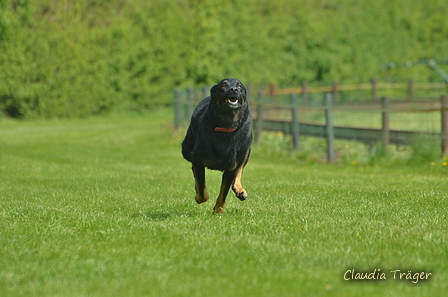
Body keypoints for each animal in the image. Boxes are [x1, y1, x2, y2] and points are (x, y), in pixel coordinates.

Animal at [181, 78, 252, 213]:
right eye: (223, 86)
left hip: (246, 151)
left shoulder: (232, 166)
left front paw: (218, 211)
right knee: (193, 169)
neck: (226, 126)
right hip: (187, 150)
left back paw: (239, 190)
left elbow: (223, 192)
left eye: (239, 86)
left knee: (240, 169)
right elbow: (202, 191)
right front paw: (198, 196)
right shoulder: (198, 159)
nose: (233, 89)